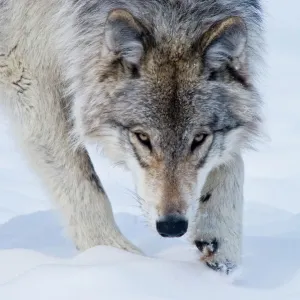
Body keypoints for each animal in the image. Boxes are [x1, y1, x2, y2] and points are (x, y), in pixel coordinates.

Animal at [0, 0, 262, 272]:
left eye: (199, 138)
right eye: (142, 137)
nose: (172, 226)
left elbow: (233, 160)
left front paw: (221, 241)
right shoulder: (24, 69)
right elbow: (83, 180)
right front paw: (116, 259)